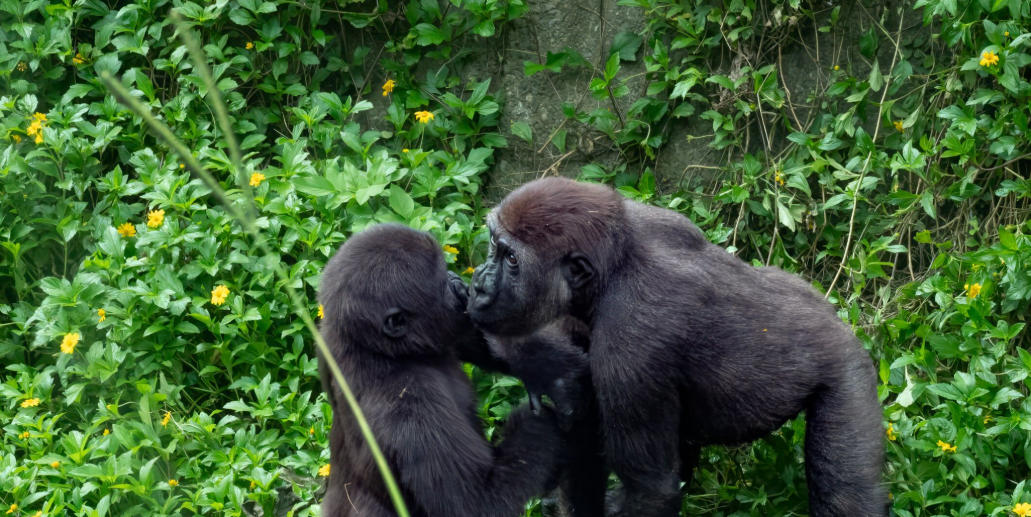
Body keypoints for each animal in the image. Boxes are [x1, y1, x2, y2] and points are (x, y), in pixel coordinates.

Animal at [317, 223, 566, 517]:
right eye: (442, 283)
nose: (458, 280)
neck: (380, 351)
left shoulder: (326, 334)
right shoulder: (411, 405)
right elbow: (475, 505)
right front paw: (536, 423)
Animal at [466, 177, 885, 517]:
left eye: (511, 258)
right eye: (492, 247)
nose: (479, 284)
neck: (613, 268)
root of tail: (842, 324)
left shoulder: (630, 344)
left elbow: (651, 490)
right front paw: (550, 370)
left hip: (847, 375)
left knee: (845, 492)